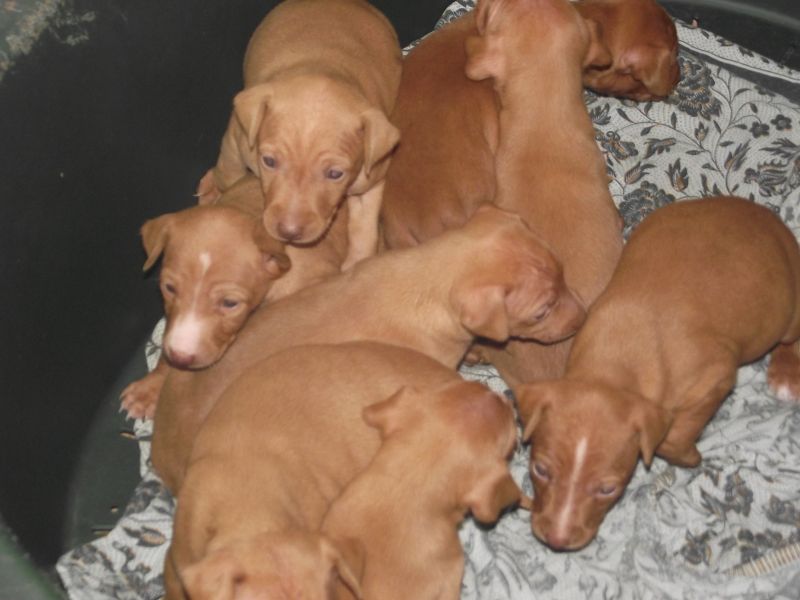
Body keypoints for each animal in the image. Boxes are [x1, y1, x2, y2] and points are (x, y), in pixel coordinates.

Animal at [198, 0, 404, 270]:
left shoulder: (371, 179)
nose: (289, 232)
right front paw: (220, 192)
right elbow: (228, 175)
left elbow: (365, 230)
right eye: (269, 161)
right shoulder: (237, 141)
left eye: (335, 174)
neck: (326, 69)